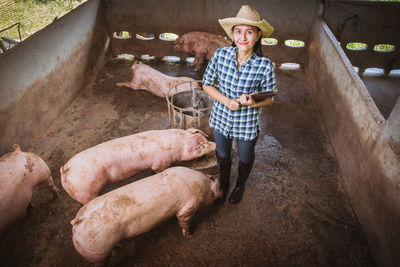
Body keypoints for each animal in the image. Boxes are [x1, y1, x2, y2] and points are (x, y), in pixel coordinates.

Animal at [60, 129, 216, 204]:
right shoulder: (161, 161)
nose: (214, 144)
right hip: (86, 190)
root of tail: (66, 169)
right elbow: (158, 169)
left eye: (204, 139)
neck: (176, 145)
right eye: (200, 146)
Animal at [72, 168, 222, 266]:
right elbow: (183, 219)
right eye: (216, 189)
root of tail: (78, 222)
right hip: (98, 251)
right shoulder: (189, 206)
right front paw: (190, 236)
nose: (221, 193)